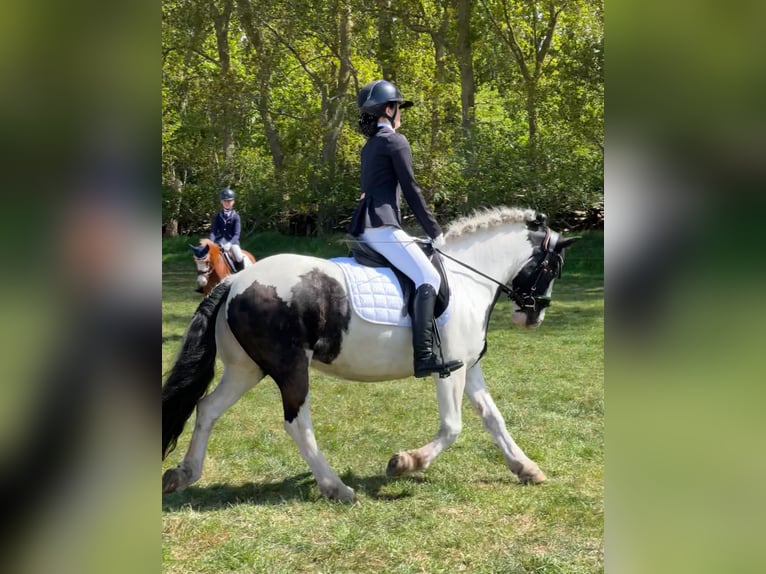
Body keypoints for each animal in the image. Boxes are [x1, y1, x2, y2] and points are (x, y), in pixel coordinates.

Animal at [163, 207, 579, 501]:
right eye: (553, 267)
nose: (532, 316)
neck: (468, 278)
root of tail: (235, 281)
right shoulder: (450, 370)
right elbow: (452, 426)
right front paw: (405, 463)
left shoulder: (469, 367)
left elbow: (494, 419)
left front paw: (526, 468)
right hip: (290, 367)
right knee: (297, 424)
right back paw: (336, 488)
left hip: (245, 368)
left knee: (207, 408)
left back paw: (184, 474)